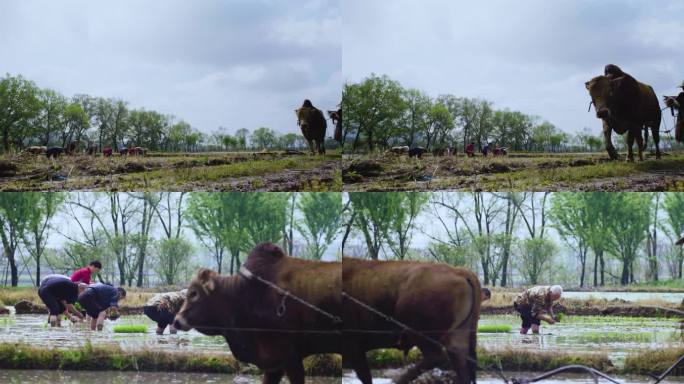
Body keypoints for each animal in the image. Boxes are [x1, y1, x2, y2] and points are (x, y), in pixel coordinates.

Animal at [342, 256, 480, 384]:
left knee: (437, 356)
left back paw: (399, 379)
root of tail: (460, 272)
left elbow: (364, 374)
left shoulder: (354, 345)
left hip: (420, 333)